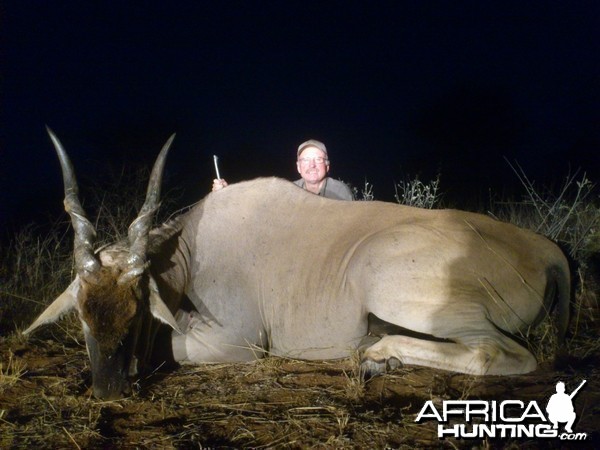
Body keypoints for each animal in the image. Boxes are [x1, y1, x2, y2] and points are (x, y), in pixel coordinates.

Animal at [25, 128, 568, 400]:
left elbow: (168, 351)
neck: (188, 253)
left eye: (137, 311)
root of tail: (546, 250)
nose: (109, 391)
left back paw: (377, 354)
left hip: (395, 290)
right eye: (82, 313)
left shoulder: (238, 342)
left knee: (502, 354)